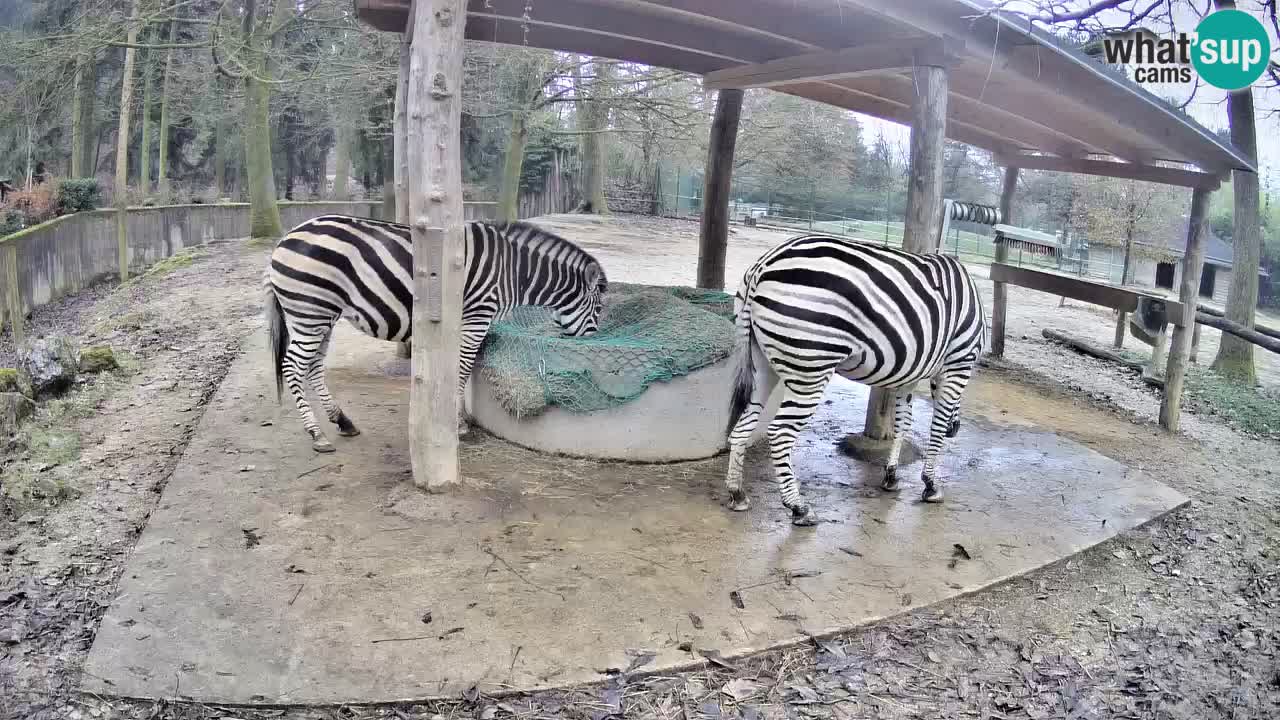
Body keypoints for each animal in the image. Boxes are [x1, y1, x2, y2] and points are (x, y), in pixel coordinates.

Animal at [265, 214, 608, 453]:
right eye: (599, 310)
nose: (592, 344)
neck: (512, 272)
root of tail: (285, 238)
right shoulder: (476, 317)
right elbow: (463, 369)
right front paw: (458, 424)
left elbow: (465, 369)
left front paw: (458, 418)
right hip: (310, 310)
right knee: (293, 366)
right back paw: (317, 434)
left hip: (322, 315)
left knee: (313, 366)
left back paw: (342, 420)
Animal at [724, 233, 986, 526]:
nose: (957, 429)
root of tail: (764, 263)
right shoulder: (959, 362)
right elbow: (936, 427)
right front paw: (930, 484)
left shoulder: (909, 376)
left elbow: (902, 424)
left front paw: (891, 475)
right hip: (811, 367)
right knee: (780, 432)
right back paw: (798, 507)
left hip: (761, 362)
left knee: (744, 423)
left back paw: (737, 493)